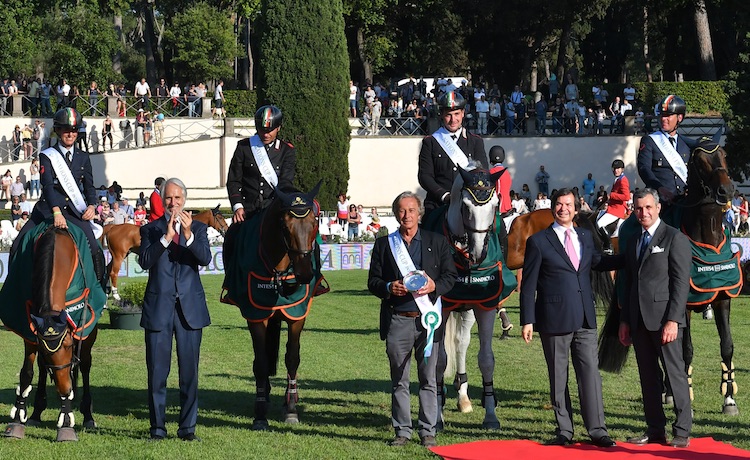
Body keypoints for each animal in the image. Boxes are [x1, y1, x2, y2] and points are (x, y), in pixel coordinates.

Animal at [1, 226, 104, 442]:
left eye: (69, 345)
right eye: (44, 347)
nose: (65, 389)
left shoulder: (82, 323)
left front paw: (66, 422)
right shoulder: (29, 326)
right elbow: (27, 373)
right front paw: (17, 420)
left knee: (85, 365)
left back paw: (88, 416)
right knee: (42, 368)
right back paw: (36, 412)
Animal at [101, 204, 229, 298]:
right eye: (220, 218)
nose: (226, 230)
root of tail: (113, 227)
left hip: (118, 255)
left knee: (107, 269)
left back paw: (106, 296)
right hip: (119, 255)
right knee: (113, 272)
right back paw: (116, 295)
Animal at [217, 182, 324, 432]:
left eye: (314, 222)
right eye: (284, 225)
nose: (305, 273)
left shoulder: (297, 314)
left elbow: (292, 357)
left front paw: (292, 408)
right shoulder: (256, 315)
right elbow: (261, 362)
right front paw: (260, 413)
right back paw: (264, 394)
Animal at [426, 166, 520, 432]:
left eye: (495, 205)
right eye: (466, 206)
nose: (479, 252)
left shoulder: (485, 305)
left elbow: (486, 359)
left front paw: (490, 416)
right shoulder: (443, 308)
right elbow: (439, 361)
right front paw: (437, 419)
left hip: (467, 310)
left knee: (461, 343)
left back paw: (463, 396)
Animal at [600, 138, 740, 416]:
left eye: (723, 154)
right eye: (699, 160)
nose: (726, 191)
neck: (707, 235)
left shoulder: (722, 298)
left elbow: (727, 346)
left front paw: (729, 399)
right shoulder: (681, 306)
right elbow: (686, 350)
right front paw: (685, 397)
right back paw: (669, 392)